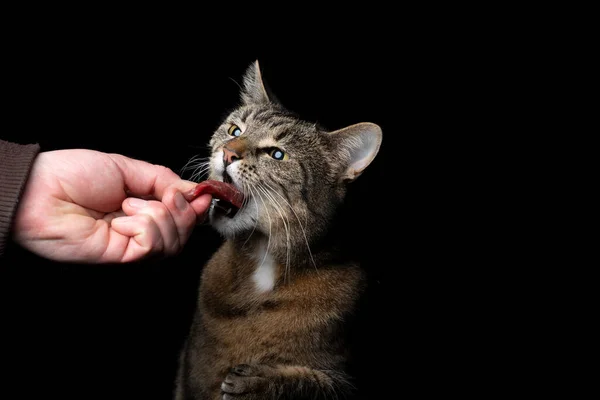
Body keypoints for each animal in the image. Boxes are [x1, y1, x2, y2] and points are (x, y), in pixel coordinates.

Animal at [173, 60, 382, 400]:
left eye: (277, 155)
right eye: (235, 131)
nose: (228, 153)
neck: (263, 266)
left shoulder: (349, 380)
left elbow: (308, 381)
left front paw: (260, 382)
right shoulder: (189, 380)